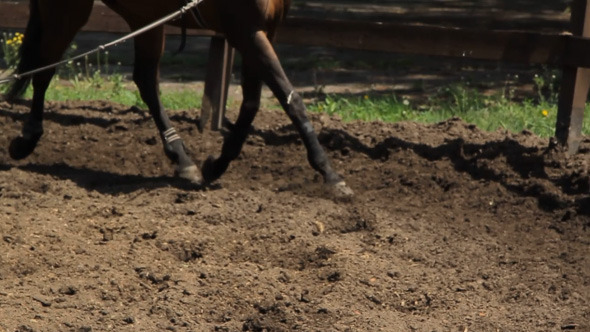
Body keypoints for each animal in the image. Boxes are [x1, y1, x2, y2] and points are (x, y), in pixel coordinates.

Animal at [4, 0, 354, 196]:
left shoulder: (263, 30)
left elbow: (253, 104)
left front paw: (216, 165)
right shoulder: (246, 31)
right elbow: (290, 98)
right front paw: (331, 176)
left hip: (144, 15)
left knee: (146, 81)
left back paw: (183, 159)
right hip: (68, 7)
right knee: (45, 68)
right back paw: (26, 140)